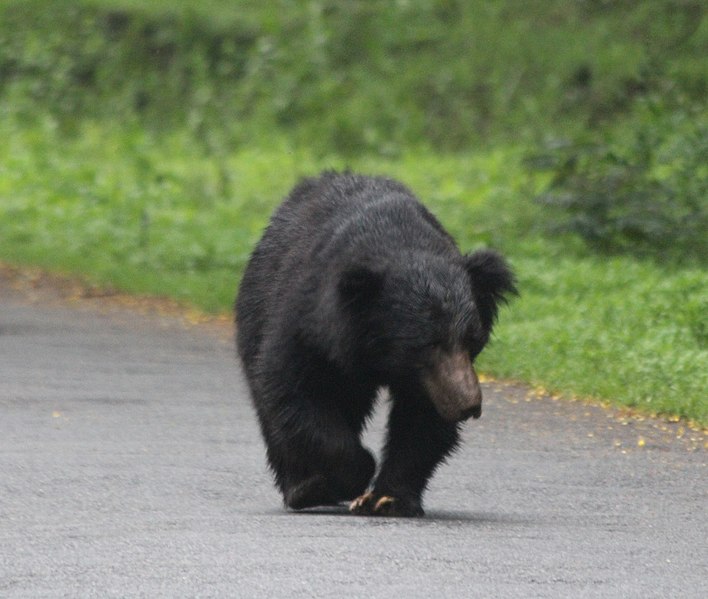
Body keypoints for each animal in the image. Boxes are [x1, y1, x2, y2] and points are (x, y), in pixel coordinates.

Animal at [236, 171, 516, 516]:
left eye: (472, 340)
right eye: (426, 344)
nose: (468, 404)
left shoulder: (430, 379)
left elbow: (421, 421)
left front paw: (389, 498)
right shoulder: (307, 325)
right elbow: (295, 391)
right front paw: (344, 479)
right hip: (257, 308)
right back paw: (302, 488)